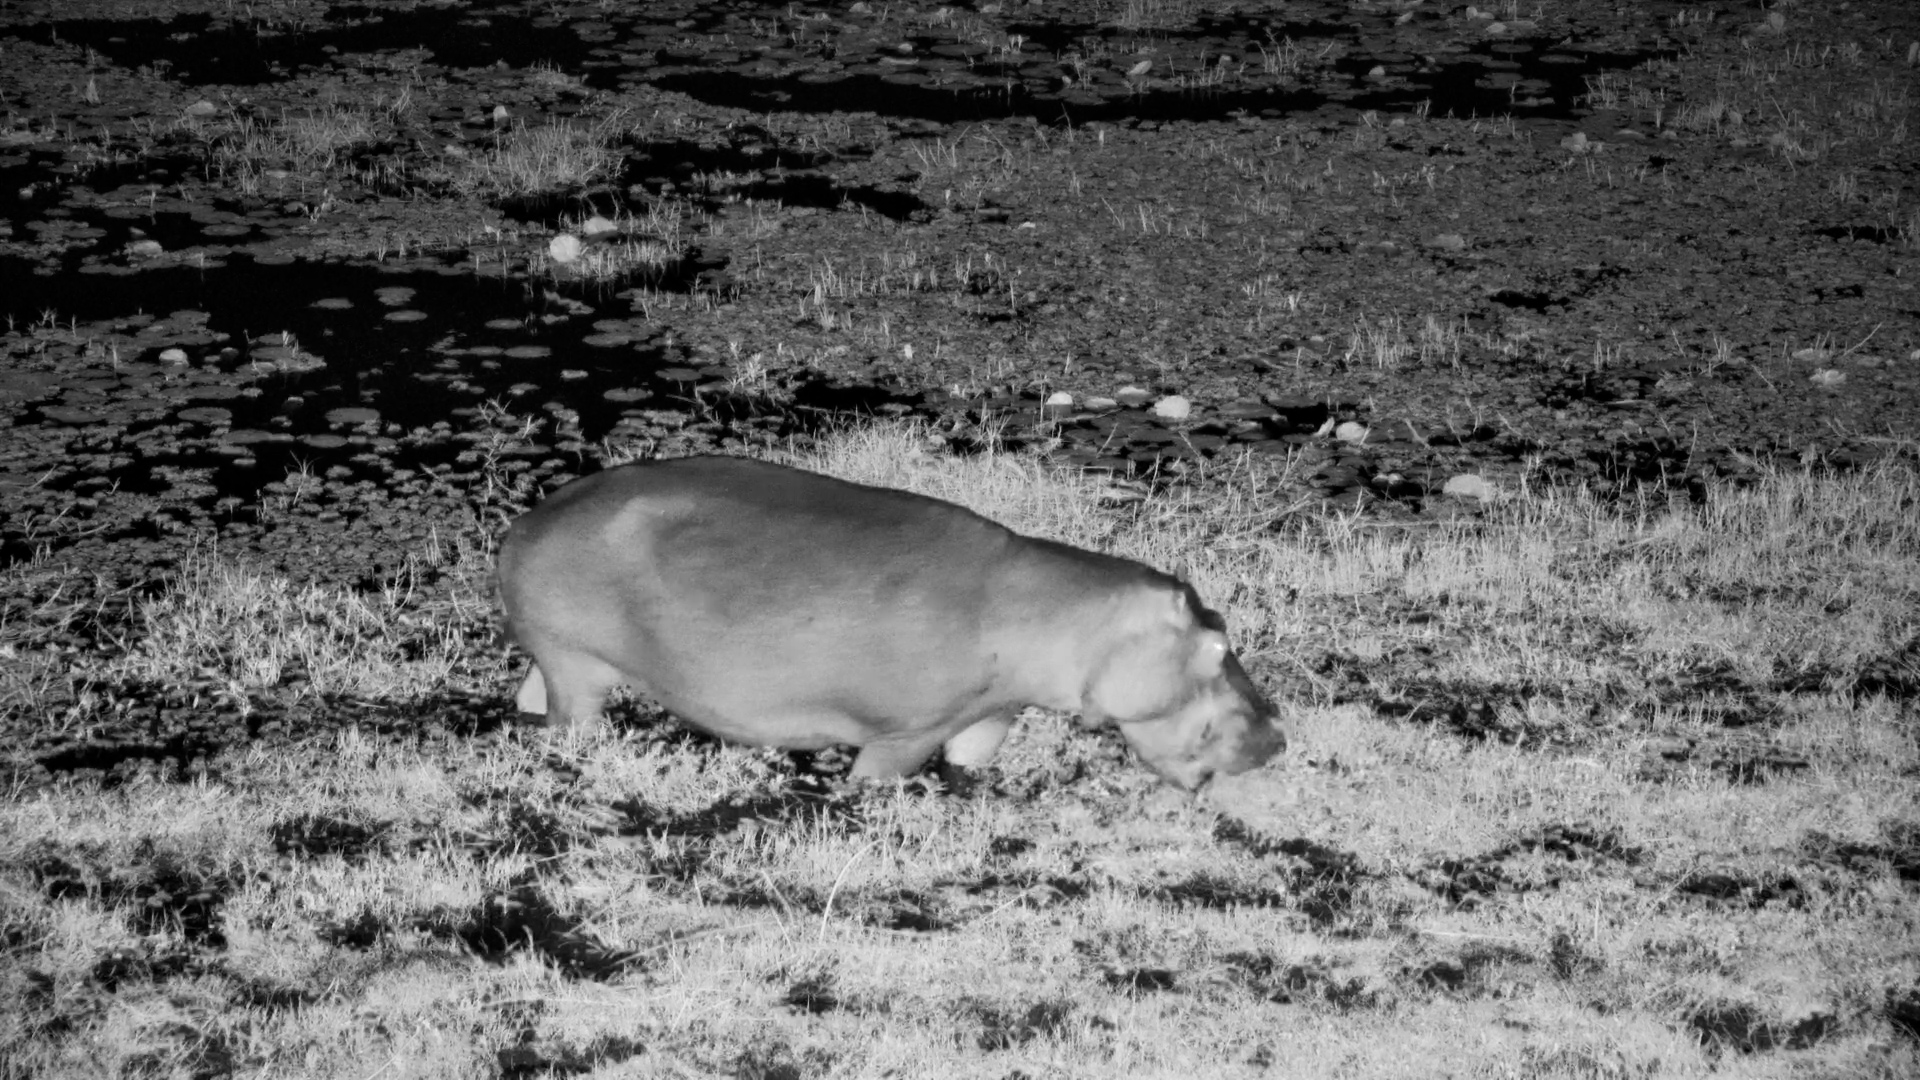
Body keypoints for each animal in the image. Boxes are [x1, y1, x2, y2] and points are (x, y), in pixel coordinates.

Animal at [496, 456, 1283, 789]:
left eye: (1225, 622)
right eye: (1218, 643)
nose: (1280, 735)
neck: (1069, 618)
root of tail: (524, 524)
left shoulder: (987, 717)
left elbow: (971, 762)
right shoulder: (903, 736)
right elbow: (878, 778)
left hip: (547, 660)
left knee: (526, 699)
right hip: (576, 669)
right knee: (571, 720)